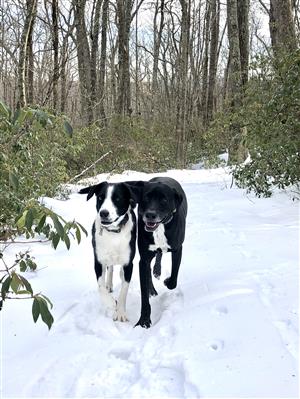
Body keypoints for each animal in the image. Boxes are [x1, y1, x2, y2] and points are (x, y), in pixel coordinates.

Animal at [79, 183, 137, 324]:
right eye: (100, 197)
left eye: (117, 198)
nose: (103, 213)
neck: (113, 232)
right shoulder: (98, 261)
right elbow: (100, 287)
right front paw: (111, 303)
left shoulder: (129, 263)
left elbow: (124, 290)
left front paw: (120, 312)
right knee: (110, 268)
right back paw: (109, 285)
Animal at [129, 177, 186, 328]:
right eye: (146, 198)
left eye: (164, 200)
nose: (150, 215)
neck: (160, 228)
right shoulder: (143, 259)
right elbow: (144, 293)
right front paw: (143, 321)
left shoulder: (178, 249)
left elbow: (174, 278)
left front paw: (167, 281)